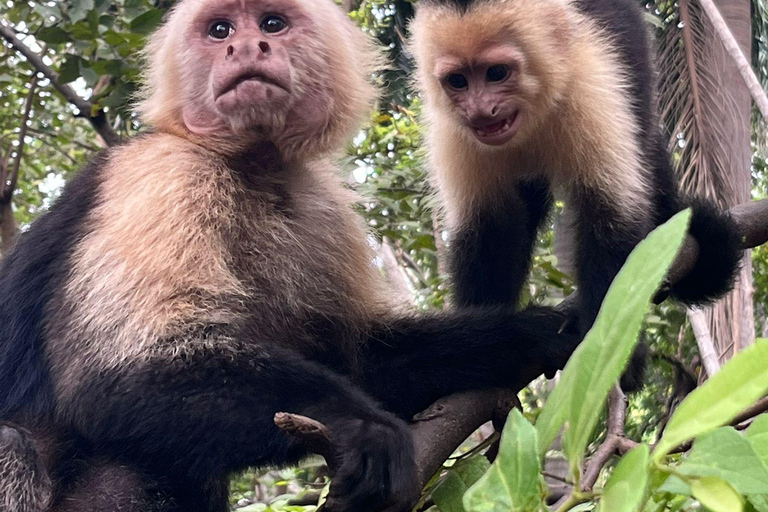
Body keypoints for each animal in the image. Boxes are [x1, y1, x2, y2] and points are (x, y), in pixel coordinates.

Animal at [0, 0, 581, 510]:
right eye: (219, 30)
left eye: (272, 24)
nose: (244, 47)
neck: (253, 165)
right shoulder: (165, 173)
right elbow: (112, 377)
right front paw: (360, 427)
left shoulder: (321, 212)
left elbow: (365, 363)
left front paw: (536, 333)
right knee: (22, 448)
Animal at [408, 0, 741, 389]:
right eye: (458, 80)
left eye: (497, 73)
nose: (479, 111)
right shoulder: (456, 131)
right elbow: (488, 228)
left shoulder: (590, 84)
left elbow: (612, 215)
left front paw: (609, 351)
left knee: (643, 137)